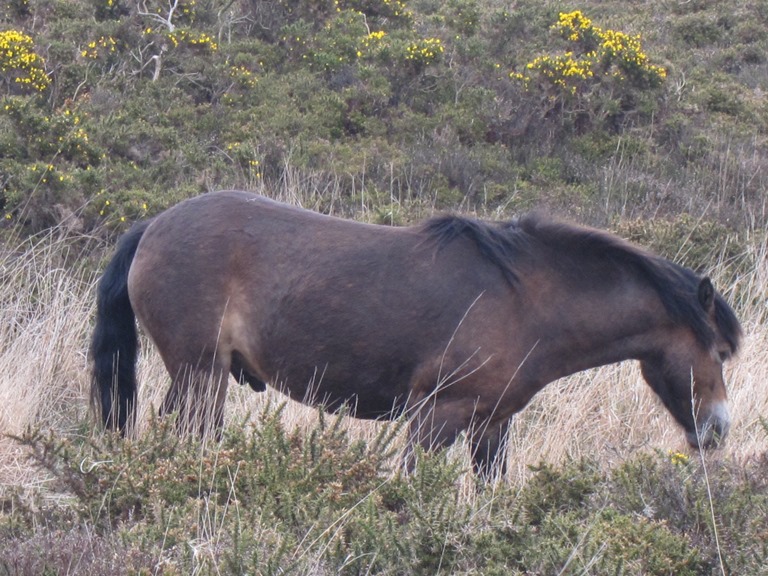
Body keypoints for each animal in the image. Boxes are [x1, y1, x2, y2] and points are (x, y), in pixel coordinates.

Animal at [90, 191, 744, 480]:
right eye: (716, 350)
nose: (717, 431)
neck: (527, 301)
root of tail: (153, 225)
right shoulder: (436, 415)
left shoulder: (491, 424)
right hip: (201, 375)